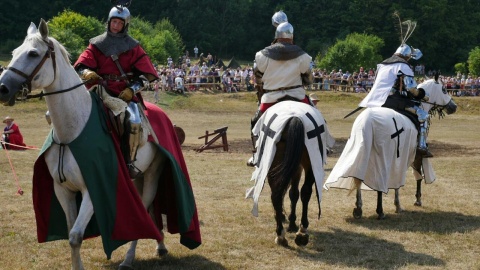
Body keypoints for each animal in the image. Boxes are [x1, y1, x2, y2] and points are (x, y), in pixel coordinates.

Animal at [0, 19, 201, 270]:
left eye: (33, 53)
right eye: (15, 52)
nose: (3, 88)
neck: (71, 131)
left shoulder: (94, 189)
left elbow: (75, 236)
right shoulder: (62, 190)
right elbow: (70, 232)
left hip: (153, 173)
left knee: (145, 208)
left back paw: (128, 259)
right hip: (136, 178)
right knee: (149, 209)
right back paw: (160, 245)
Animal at [324, 76, 456, 219]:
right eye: (444, 89)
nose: (453, 106)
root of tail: (367, 121)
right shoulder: (410, 157)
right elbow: (414, 177)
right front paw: (411, 201)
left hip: (362, 151)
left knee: (357, 177)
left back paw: (358, 208)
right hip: (384, 156)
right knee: (380, 183)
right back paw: (380, 211)